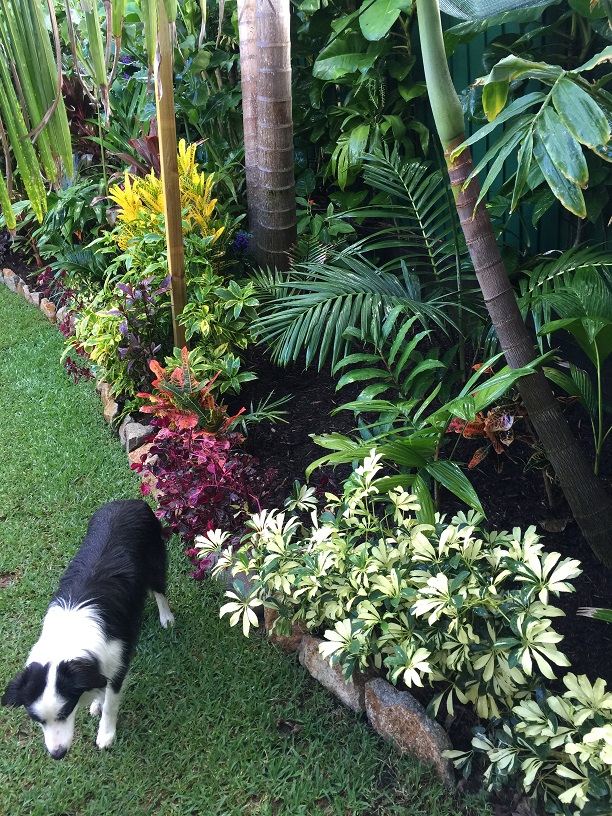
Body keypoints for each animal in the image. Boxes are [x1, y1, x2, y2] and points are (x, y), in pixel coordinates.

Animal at [1, 499, 174, 759]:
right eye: (37, 720)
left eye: (65, 712)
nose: (57, 755)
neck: (68, 637)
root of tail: (131, 501)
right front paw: (96, 702)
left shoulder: (118, 663)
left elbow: (111, 702)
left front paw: (106, 734)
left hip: (155, 559)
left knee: (159, 589)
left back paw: (166, 617)